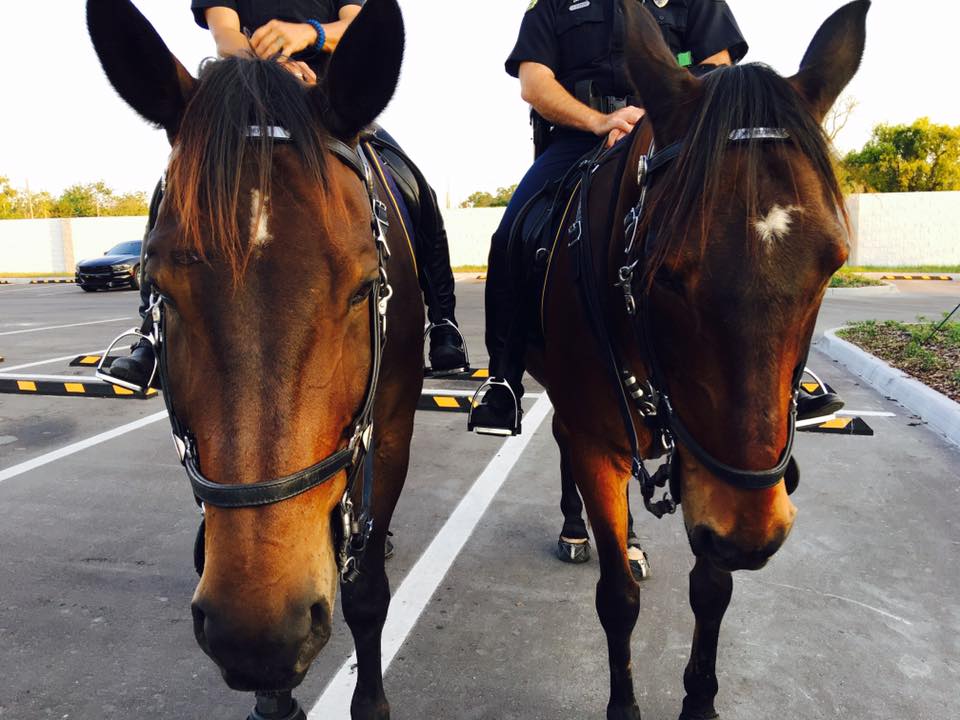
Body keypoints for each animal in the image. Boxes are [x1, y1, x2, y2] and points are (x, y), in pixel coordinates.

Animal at [87, 0, 420, 716]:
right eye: (158, 287)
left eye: (363, 286)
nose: (259, 634)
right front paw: (273, 694)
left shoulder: (391, 433)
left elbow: (367, 590)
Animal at [528, 2, 869, 717]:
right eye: (664, 275)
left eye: (833, 265)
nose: (754, 536)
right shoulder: (601, 439)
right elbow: (618, 601)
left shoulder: (713, 466)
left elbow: (712, 590)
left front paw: (699, 701)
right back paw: (579, 530)